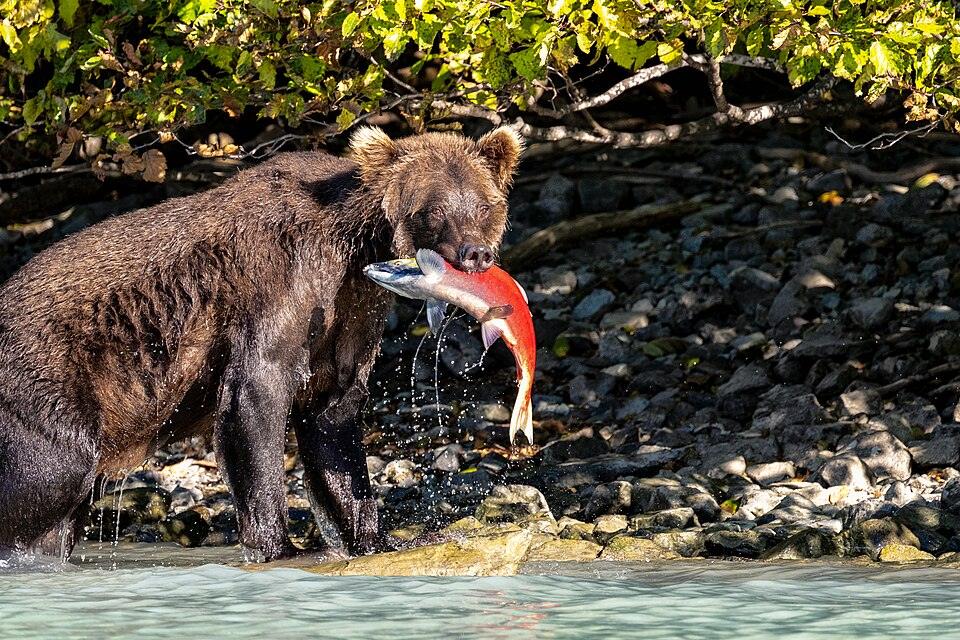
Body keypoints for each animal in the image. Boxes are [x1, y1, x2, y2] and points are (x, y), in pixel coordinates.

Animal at [0, 126, 523, 561]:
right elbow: (257, 391)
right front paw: (280, 546)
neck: (356, 245)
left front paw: (378, 537)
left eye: (484, 205)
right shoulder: (282, 280)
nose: (475, 253)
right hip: (49, 385)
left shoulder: (353, 308)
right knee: (48, 478)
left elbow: (333, 419)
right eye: (433, 210)